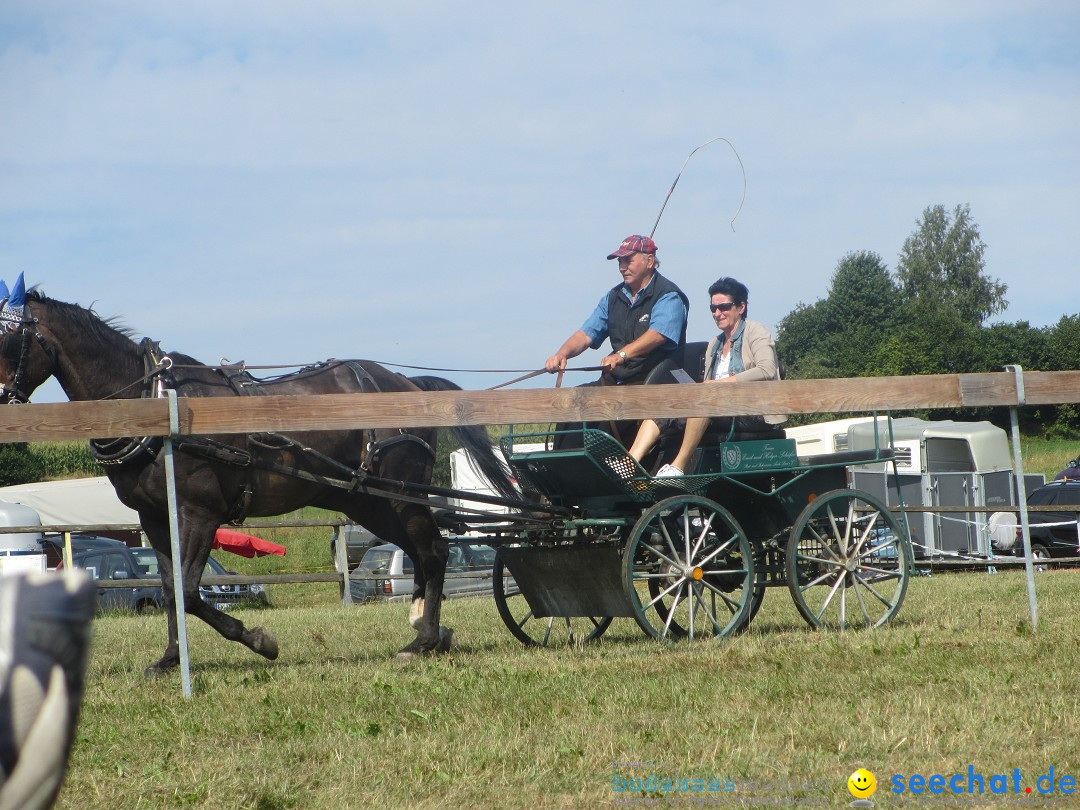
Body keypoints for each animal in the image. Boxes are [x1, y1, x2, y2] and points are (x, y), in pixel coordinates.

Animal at [0, 289, 518, 673]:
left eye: (7, 334)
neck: (154, 402)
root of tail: (407, 383)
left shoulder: (199, 513)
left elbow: (191, 592)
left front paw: (259, 641)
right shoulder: (155, 518)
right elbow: (170, 589)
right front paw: (169, 660)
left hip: (400, 494)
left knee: (433, 550)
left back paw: (424, 639)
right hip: (366, 501)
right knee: (420, 550)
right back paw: (428, 629)